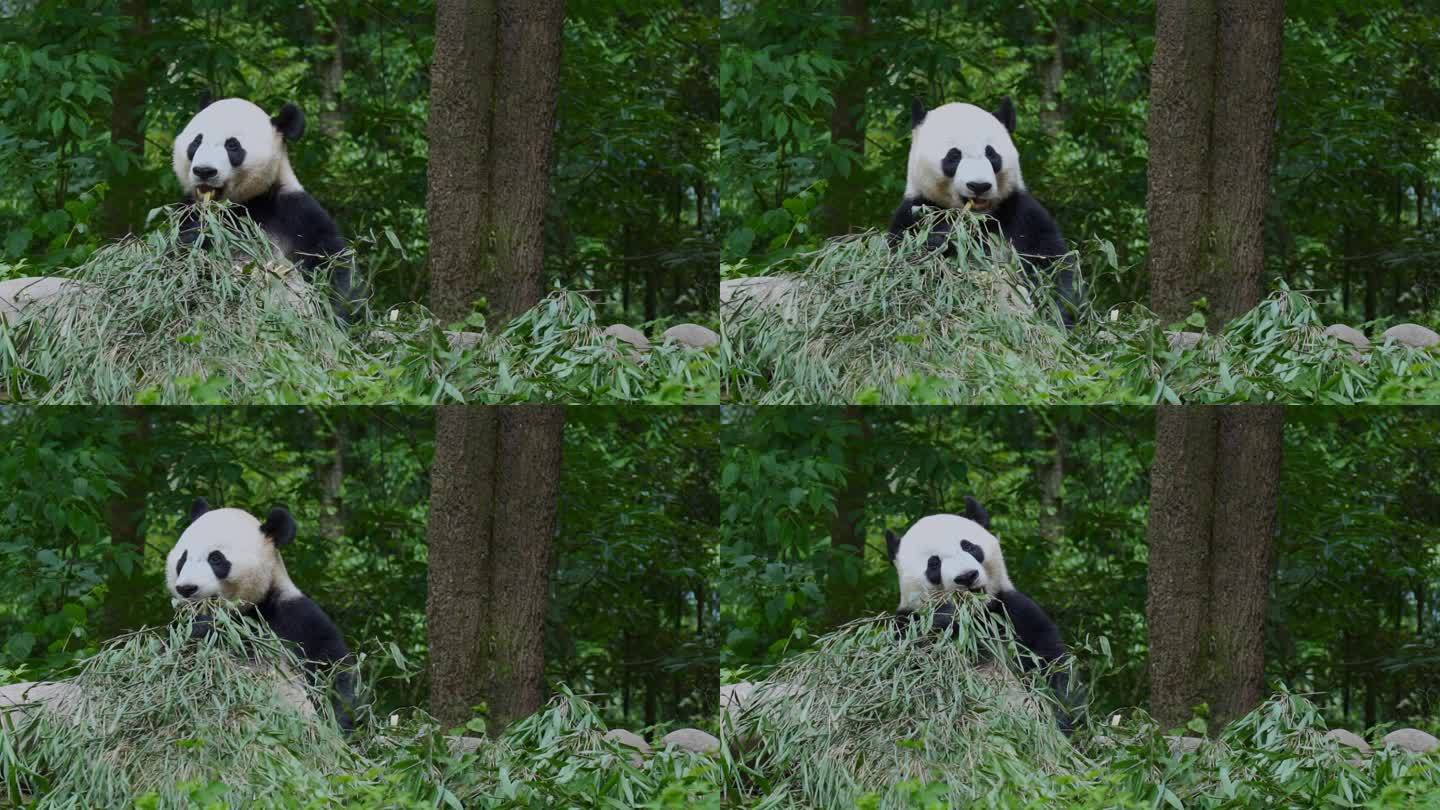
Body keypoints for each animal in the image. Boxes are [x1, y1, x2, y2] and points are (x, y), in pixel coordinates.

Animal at [167, 495, 355, 729]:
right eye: (182, 559)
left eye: (216, 559)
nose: (186, 588)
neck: (247, 612)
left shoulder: (294, 617)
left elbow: (332, 668)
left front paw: (336, 723)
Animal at [172, 97, 355, 318]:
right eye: (196, 141)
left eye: (232, 145)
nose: (204, 171)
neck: (243, 204)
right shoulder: (187, 210)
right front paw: (195, 238)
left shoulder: (295, 213)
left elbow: (331, 265)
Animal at [881, 492, 1077, 732]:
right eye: (934, 564)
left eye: (969, 546)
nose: (966, 576)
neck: (974, 617)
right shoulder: (906, 624)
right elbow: (901, 677)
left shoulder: (1009, 612)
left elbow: (1050, 663)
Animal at [887, 99, 1082, 325]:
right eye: (953, 156)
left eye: (991, 154)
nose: (979, 185)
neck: (978, 218)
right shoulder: (915, 211)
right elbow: (904, 271)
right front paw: (942, 238)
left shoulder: (1019, 212)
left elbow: (1052, 265)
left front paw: (1056, 315)